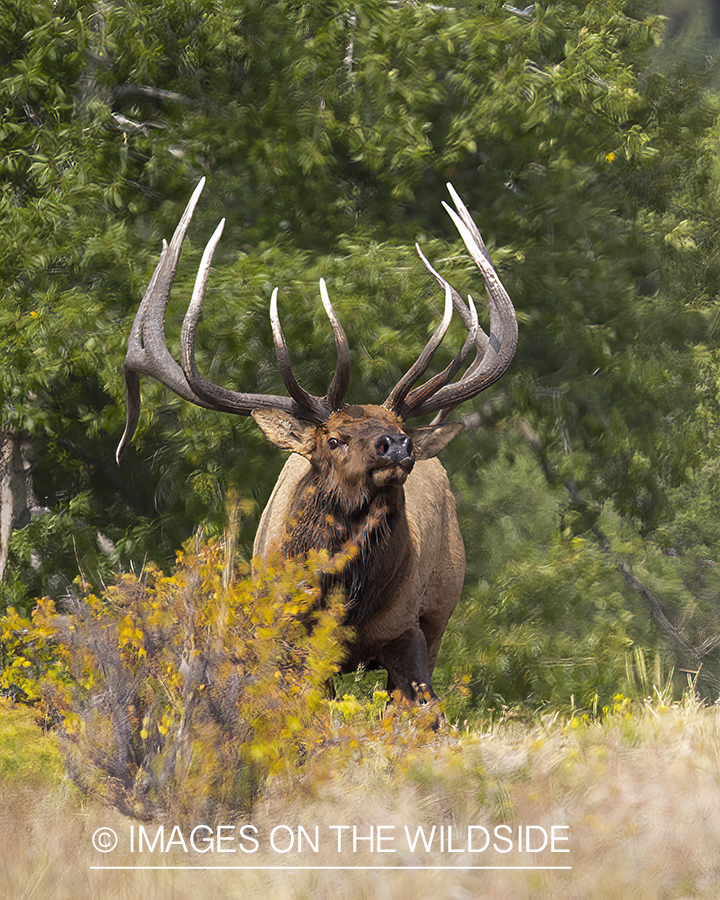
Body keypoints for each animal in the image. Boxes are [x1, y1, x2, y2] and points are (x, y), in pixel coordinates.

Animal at [115, 181, 516, 704]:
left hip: (441, 609)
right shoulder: (282, 636)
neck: (343, 605)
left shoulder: (406, 628)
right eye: (335, 439)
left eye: (404, 432)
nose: (397, 446)